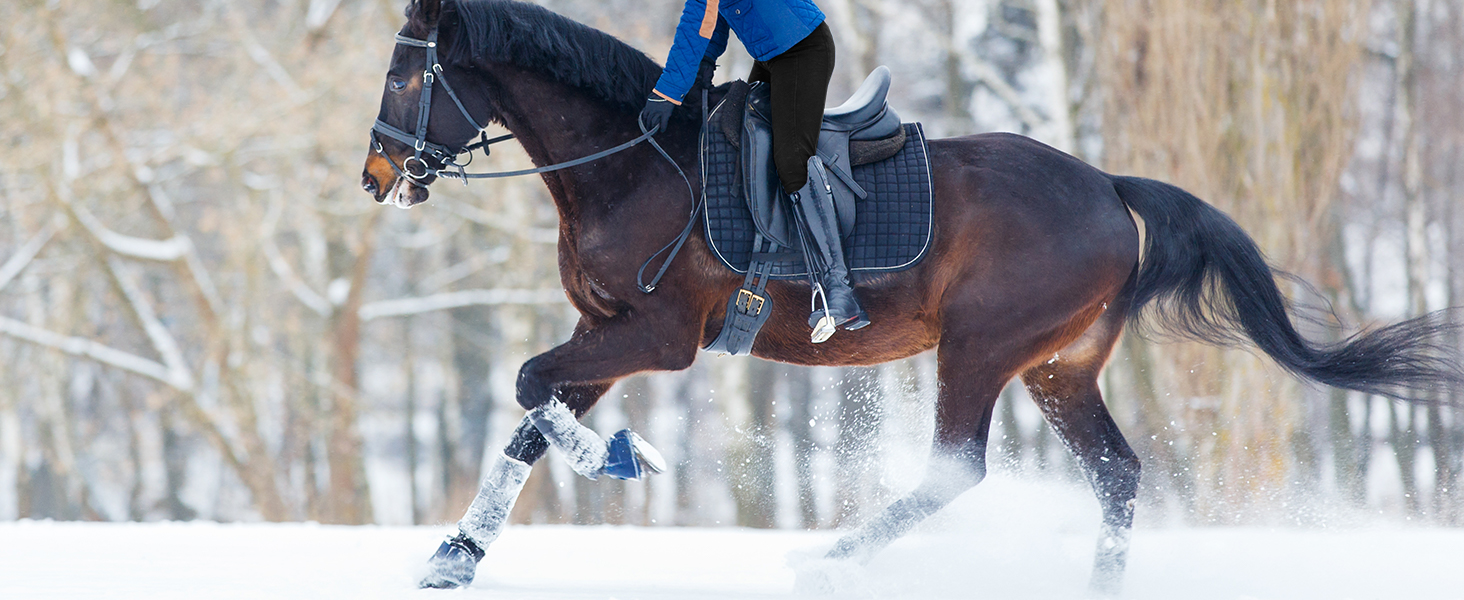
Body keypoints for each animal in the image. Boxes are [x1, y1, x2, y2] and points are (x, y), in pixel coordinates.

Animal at [360, 0, 1462, 594]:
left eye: (409, 79)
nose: (376, 176)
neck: (628, 161)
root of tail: (1109, 186)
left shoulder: (657, 334)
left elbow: (528, 387)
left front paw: (624, 456)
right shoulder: (604, 328)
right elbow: (531, 418)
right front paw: (455, 557)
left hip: (979, 348)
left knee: (957, 467)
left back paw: (830, 559)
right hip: (1059, 367)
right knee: (1116, 473)